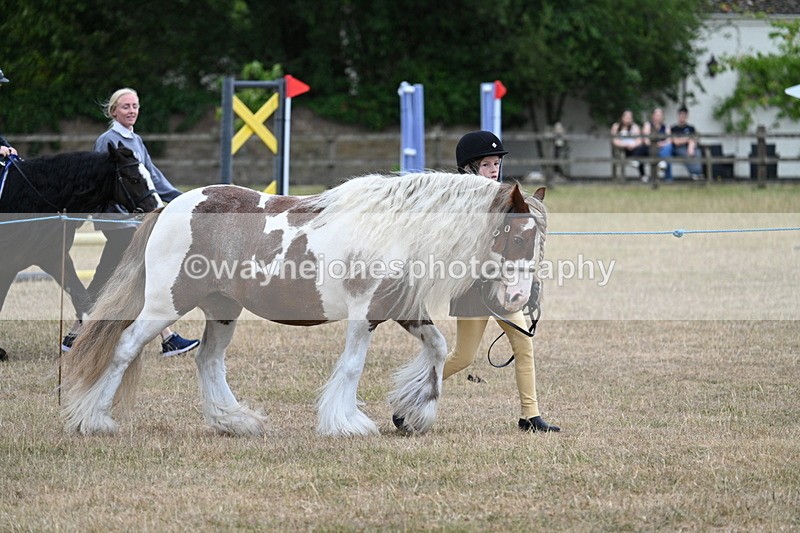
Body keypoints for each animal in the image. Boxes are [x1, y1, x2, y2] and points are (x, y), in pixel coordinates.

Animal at [0, 142, 161, 356]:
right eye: (134, 179)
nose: (157, 208)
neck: (31, 197)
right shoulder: (11, 263)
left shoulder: (52, 257)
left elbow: (82, 299)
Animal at [61, 172, 547, 437]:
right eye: (518, 236)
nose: (518, 299)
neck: (395, 230)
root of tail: (170, 207)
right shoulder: (364, 316)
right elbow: (352, 366)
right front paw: (346, 423)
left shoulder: (399, 309)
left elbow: (439, 348)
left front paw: (414, 413)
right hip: (167, 303)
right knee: (126, 347)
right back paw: (95, 420)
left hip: (222, 308)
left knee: (208, 360)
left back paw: (235, 422)